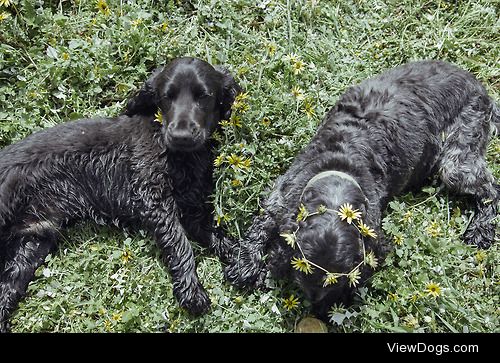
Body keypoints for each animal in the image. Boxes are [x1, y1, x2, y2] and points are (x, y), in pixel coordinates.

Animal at [0, 57, 240, 332]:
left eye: (204, 96)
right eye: (166, 97)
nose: (180, 136)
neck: (180, 155)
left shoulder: (191, 210)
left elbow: (217, 234)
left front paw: (245, 263)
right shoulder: (153, 197)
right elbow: (179, 243)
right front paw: (191, 291)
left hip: (31, 245)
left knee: (6, 288)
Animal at [225, 60, 498, 322]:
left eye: (339, 281)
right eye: (302, 275)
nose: (319, 311)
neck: (339, 168)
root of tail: (478, 86)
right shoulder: (283, 194)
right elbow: (261, 224)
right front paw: (245, 266)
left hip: (457, 157)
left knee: (491, 190)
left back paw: (480, 230)